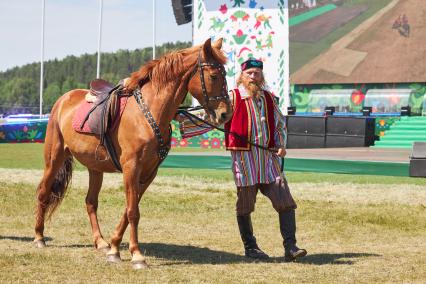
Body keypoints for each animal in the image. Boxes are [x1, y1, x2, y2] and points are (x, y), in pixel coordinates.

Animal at [33, 37, 233, 268]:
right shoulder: (131, 167)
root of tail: (63, 99)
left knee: (91, 202)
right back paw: (39, 237)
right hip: (54, 158)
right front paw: (136, 255)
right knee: (43, 192)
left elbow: (130, 209)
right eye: (214, 76)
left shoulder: (149, 172)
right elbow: (133, 212)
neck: (148, 113)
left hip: (95, 167)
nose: (225, 113)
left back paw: (100, 242)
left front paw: (113, 247)